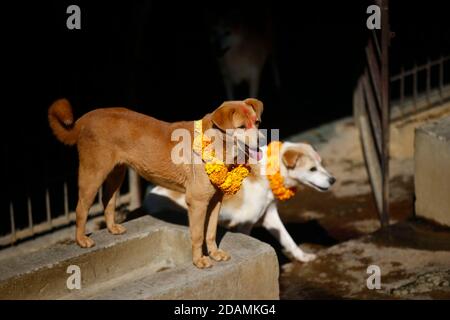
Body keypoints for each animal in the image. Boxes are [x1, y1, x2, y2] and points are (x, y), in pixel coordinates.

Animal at [147, 141, 334, 262]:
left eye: (321, 164)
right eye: (312, 169)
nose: (333, 180)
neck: (267, 173)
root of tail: (151, 194)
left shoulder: (270, 216)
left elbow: (288, 239)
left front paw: (303, 257)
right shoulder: (245, 224)